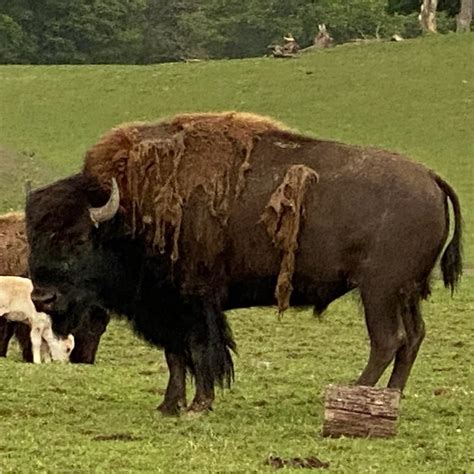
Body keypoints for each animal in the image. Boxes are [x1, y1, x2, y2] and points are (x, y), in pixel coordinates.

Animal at [25, 112, 460, 414]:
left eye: (79, 239)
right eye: (33, 236)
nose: (42, 297)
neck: (128, 211)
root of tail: (431, 177)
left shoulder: (194, 302)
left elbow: (200, 350)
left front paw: (199, 405)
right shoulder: (167, 307)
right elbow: (175, 356)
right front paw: (168, 406)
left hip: (379, 291)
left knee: (388, 339)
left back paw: (356, 391)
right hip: (404, 293)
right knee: (413, 337)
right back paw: (390, 396)